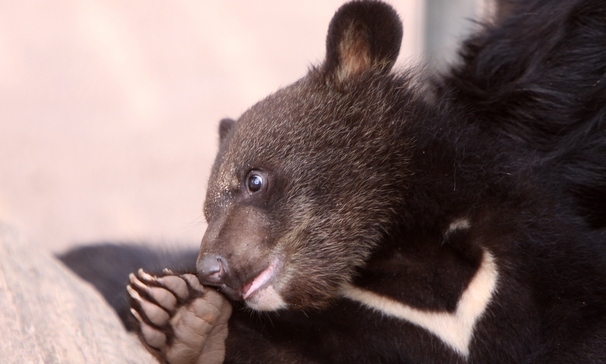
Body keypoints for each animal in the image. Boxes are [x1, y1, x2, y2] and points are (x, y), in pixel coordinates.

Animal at [119, 0, 606, 362]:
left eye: (254, 181)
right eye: (205, 211)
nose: (210, 269)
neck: (400, 248)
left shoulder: (535, 248)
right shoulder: (374, 322)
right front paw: (182, 318)